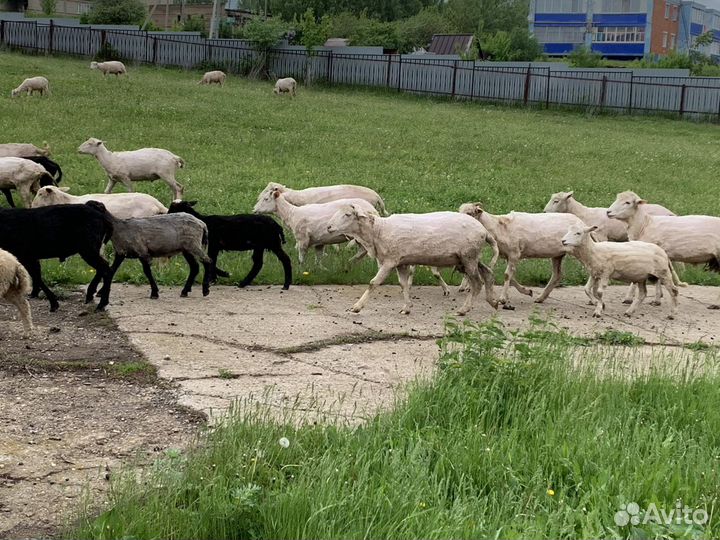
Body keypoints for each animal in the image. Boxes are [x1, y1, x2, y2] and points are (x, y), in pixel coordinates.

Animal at [326, 205, 497, 316]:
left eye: (347, 215)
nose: (328, 227)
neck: (378, 231)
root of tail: (484, 231)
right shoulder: (401, 262)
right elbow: (403, 284)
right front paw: (406, 308)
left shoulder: (390, 261)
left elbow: (373, 283)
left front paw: (357, 307)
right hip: (469, 258)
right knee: (488, 273)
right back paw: (493, 302)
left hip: (469, 257)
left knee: (477, 283)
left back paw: (464, 309)